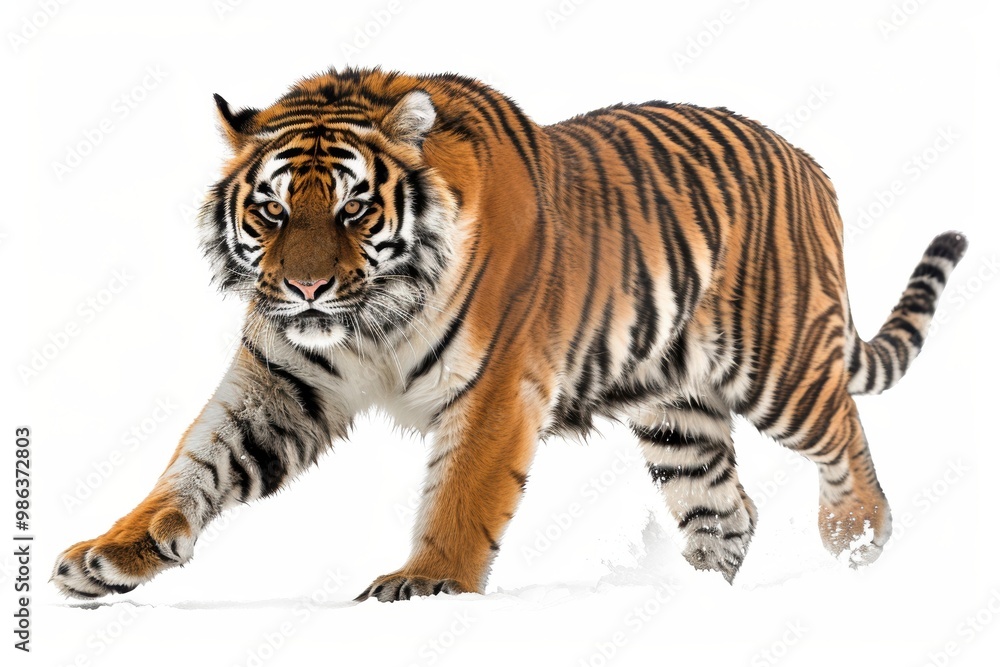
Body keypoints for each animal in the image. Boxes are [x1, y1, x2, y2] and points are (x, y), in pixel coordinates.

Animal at [53, 67, 967, 602]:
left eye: (354, 208)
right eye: (273, 210)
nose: (306, 287)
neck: (365, 323)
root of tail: (810, 163)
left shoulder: (495, 385)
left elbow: (461, 493)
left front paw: (426, 582)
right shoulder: (282, 380)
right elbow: (195, 462)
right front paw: (111, 555)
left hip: (776, 362)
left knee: (844, 430)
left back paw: (858, 539)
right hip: (677, 414)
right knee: (725, 507)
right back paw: (698, 605)